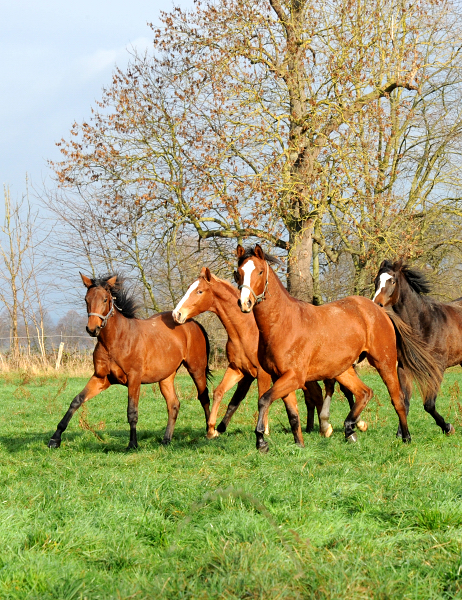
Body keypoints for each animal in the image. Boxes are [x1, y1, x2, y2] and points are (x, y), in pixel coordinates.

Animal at [48, 274, 211, 448]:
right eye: (86, 299)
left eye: (105, 299)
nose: (92, 329)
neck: (116, 340)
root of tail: (192, 322)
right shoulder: (101, 378)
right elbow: (76, 401)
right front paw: (55, 439)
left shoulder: (134, 378)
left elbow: (132, 411)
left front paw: (132, 443)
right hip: (166, 377)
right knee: (173, 404)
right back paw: (166, 439)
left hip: (196, 370)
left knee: (204, 398)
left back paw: (211, 432)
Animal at [236, 244, 438, 450]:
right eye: (238, 273)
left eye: (260, 272)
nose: (245, 303)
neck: (283, 324)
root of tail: (380, 310)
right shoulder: (280, 377)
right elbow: (292, 414)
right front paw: (299, 444)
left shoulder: (294, 377)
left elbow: (264, 400)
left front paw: (261, 441)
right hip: (343, 370)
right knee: (364, 393)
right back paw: (349, 430)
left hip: (385, 363)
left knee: (397, 399)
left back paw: (405, 437)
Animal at [376, 260, 458, 434]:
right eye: (376, 281)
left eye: (392, 281)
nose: (376, 304)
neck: (424, 322)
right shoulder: (403, 368)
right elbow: (403, 401)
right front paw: (401, 433)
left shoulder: (437, 368)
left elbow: (429, 404)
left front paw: (448, 427)